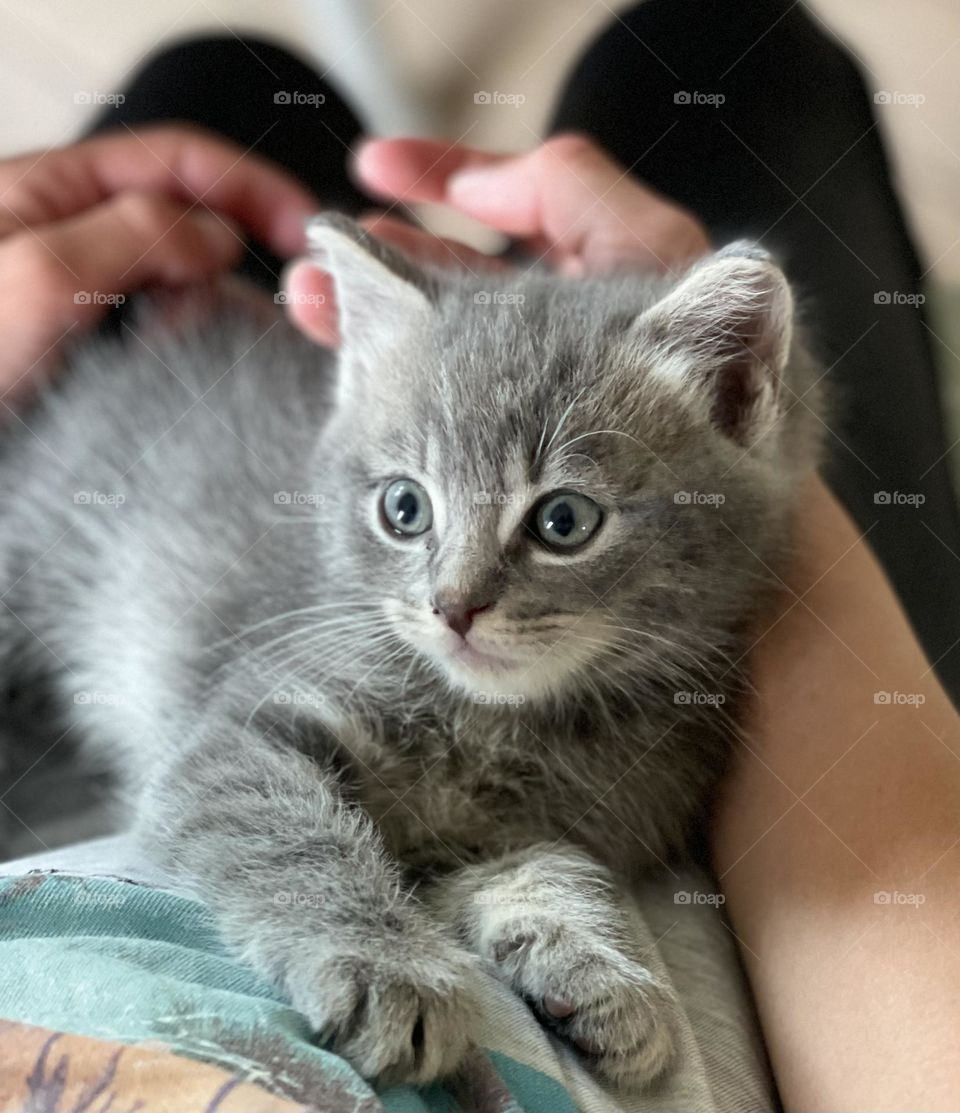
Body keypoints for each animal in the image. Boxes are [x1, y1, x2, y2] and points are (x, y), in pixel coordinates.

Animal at [0, 212, 827, 1090]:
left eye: (564, 521)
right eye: (405, 508)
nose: (453, 606)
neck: (498, 721)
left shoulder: (499, 830)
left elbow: (546, 871)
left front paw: (599, 971)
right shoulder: (235, 734)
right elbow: (294, 838)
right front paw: (382, 963)